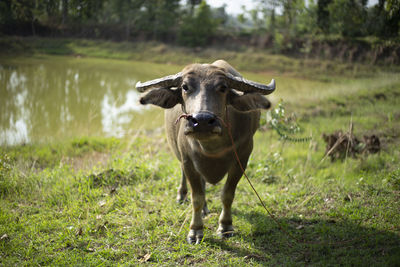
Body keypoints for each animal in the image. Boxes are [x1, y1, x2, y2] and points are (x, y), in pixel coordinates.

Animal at [135, 60, 276, 245]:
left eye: (223, 87)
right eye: (185, 87)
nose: (201, 120)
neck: (213, 147)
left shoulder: (242, 159)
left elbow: (227, 194)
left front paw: (225, 226)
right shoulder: (188, 162)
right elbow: (197, 198)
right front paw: (195, 230)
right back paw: (182, 196)